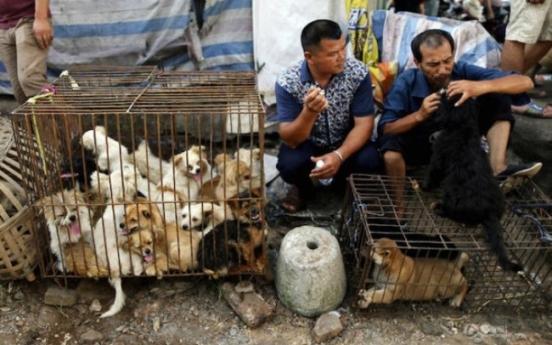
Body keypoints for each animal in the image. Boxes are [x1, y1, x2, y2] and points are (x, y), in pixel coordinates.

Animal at [422, 92, 520, 272]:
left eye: (448, 99)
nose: (442, 92)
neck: (463, 127)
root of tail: (490, 212)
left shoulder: (439, 156)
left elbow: (433, 173)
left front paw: (425, 186)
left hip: (452, 194)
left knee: (453, 213)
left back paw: (439, 208)